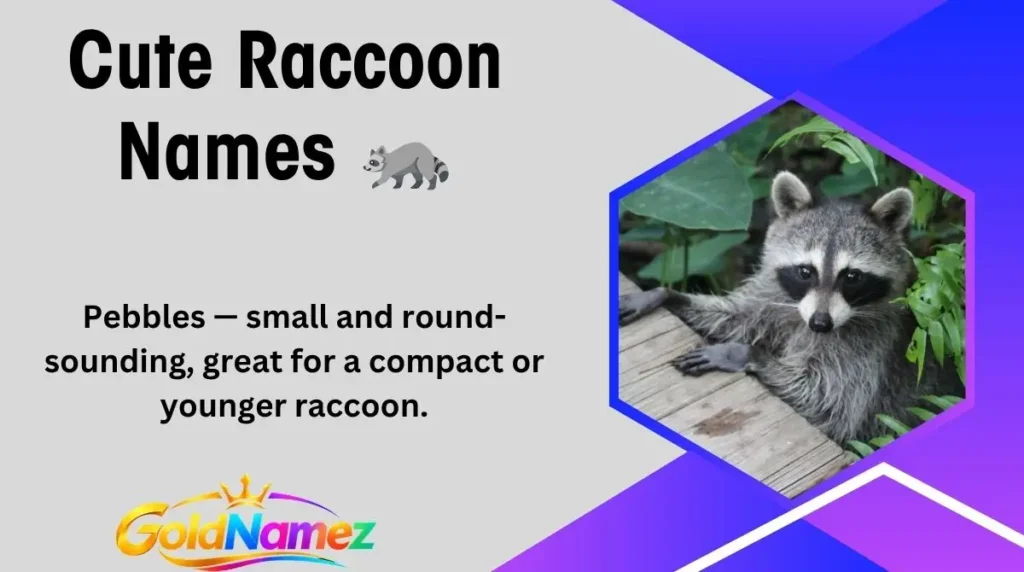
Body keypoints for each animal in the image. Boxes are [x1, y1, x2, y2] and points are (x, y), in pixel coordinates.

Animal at [619, 171, 963, 444]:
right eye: (805, 271)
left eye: (852, 276)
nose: (821, 324)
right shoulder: (775, 298)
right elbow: (735, 317)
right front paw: (665, 294)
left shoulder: (868, 347)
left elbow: (828, 404)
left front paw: (742, 353)